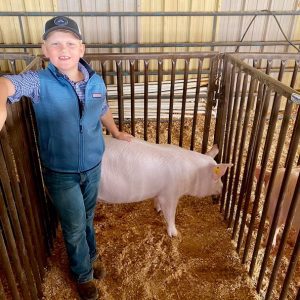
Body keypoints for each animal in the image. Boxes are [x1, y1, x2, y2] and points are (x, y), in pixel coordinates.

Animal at [98, 136, 232, 237]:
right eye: (217, 177)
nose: (222, 188)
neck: (192, 175)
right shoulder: (170, 194)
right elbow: (170, 214)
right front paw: (174, 234)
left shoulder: (160, 192)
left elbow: (157, 201)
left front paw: (157, 210)